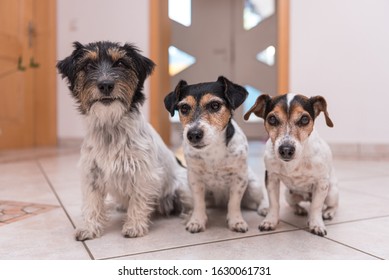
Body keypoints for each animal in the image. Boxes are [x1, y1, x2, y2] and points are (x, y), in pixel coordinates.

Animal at [56, 41, 190, 241]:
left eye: (120, 63)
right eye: (88, 66)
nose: (105, 85)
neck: (110, 127)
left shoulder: (143, 173)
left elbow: (138, 200)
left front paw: (134, 226)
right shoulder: (92, 174)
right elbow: (92, 203)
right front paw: (89, 228)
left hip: (182, 186)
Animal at [163, 75, 266, 233]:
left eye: (215, 105)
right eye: (184, 108)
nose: (193, 134)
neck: (213, 150)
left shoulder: (239, 179)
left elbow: (234, 203)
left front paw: (236, 221)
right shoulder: (195, 179)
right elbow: (199, 203)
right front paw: (197, 220)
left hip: (253, 186)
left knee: (260, 199)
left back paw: (265, 208)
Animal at [244, 93, 338, 236]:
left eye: (304, 119)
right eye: (272, 119)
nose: (286, 150)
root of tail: (307, 198)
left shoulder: (321, 183)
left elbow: (316, 207)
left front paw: (316, 224)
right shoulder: (271, 178)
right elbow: (274, 204)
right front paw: (270, 221)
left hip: (331, 193)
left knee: (333, 205)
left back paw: (328, 212)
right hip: (289, 195)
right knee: (294, 204)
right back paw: (299, 209)